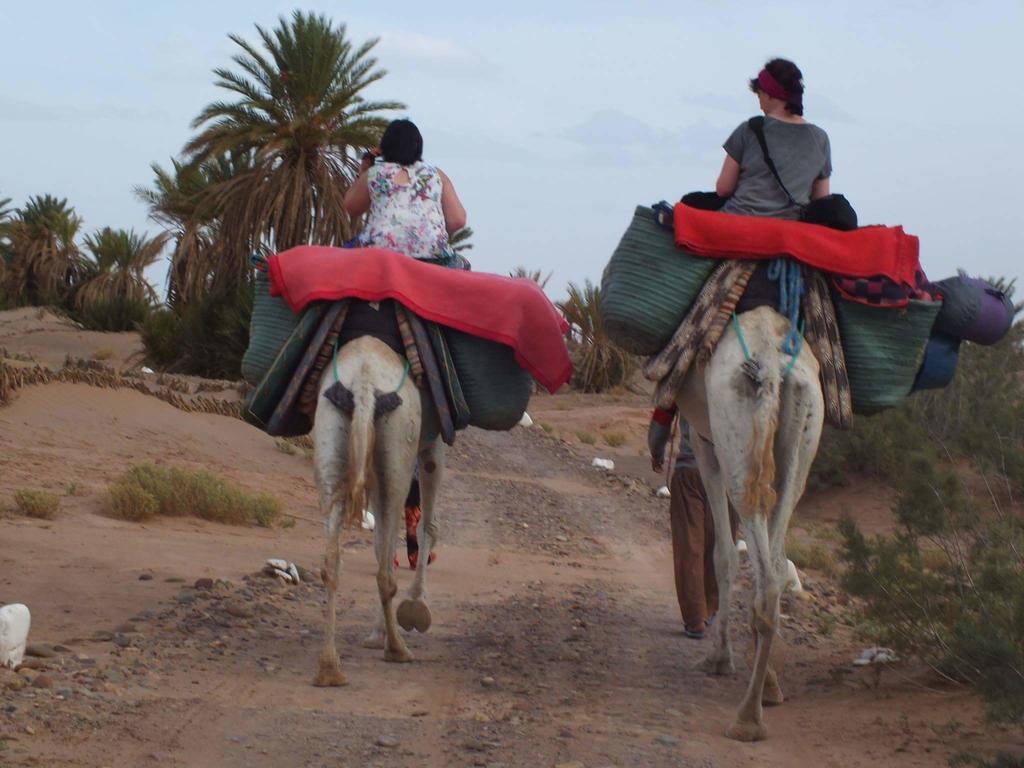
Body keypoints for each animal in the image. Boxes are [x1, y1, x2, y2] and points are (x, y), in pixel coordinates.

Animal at [309, 335, 442, 684]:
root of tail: (365, 380)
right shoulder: (431, 443)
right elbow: (426, 525)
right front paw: (415, 608)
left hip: (330, 437)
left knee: (331, 561)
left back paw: (329, 668)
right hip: (397, 452)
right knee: (385, 566)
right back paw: (396, 649)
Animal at [675, 309, 827, 745]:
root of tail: (773, 364)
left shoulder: (707, 445)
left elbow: (723, 555)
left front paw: (719, 657)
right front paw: (770, 679)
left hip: (737, 439)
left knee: (762, 574)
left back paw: (747, 720)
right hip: (802, 439)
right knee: (773, 572)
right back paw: (763, 697)